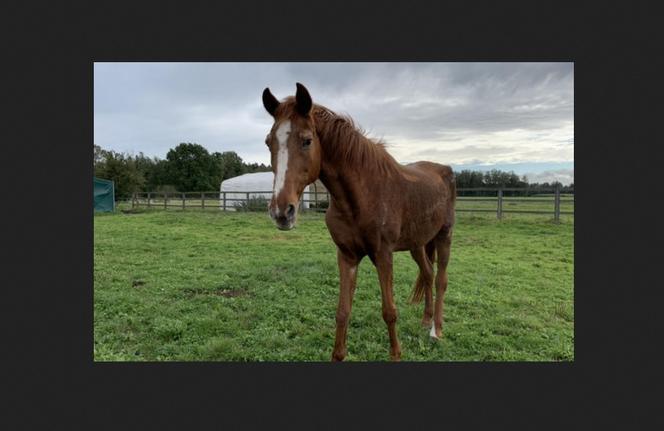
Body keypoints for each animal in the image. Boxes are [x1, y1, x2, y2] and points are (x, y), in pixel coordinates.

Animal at [260, 82, 456, 362]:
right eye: (269, 142)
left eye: (307, 140)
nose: (281, 212)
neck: (361, 196)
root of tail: (444, 170)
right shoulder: (347, 256)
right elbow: (343, 312)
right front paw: (338, 354)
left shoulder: (383, 255)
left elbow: (389, 311)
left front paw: (396, 354)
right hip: (418, 243)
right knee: (428, 274)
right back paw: (425, 321)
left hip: (444, 236)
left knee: (441, 279)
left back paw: (436, 331)